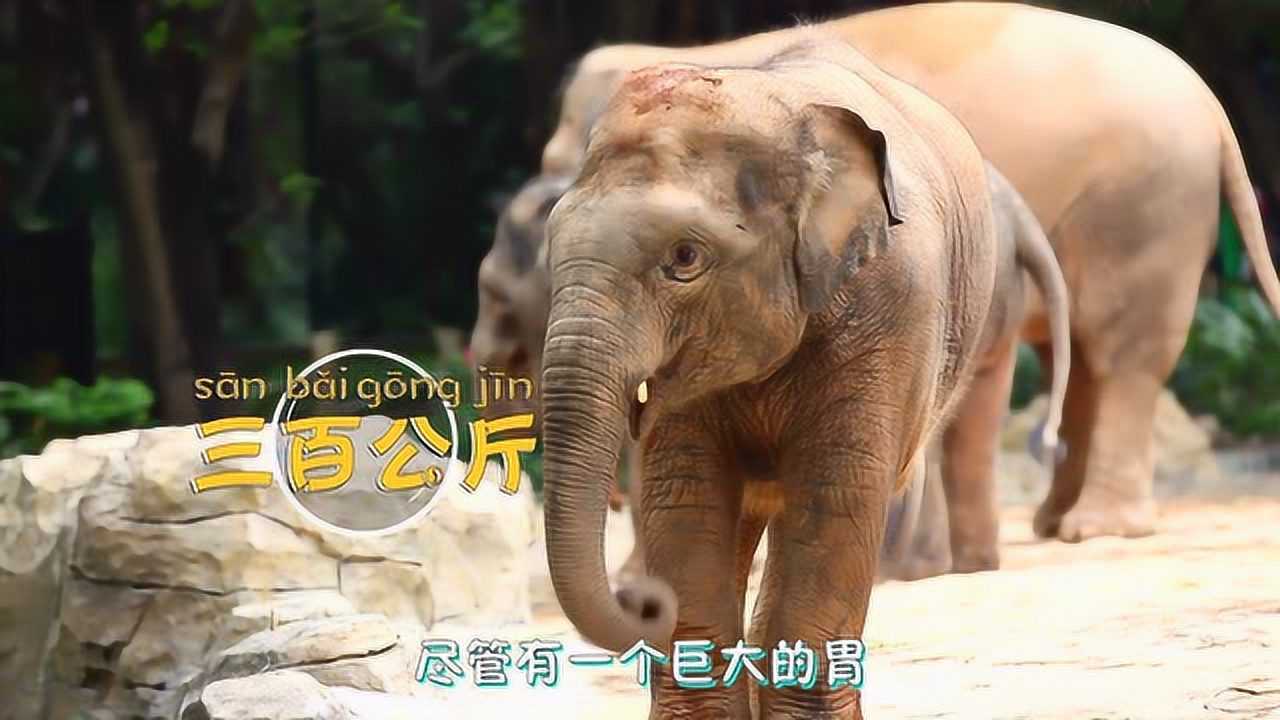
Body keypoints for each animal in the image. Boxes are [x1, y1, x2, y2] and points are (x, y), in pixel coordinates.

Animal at [529, 2, 1280, 545]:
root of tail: (1212, 106)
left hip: (1143, 210)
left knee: (1123, 355)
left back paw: (1091, 530)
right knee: (1089, 363)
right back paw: (1052, 524)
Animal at [539, 33, 1001, 718]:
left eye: (685, 257)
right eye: (551, 246)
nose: (641, 598)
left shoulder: (891, 310)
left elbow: (836, 496)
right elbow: (686, 495)